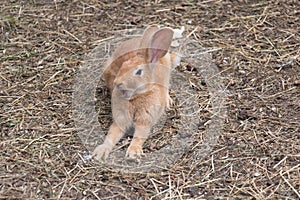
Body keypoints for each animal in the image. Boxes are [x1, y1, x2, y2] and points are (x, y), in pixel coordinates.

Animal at [92, 25, 180, 160]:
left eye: (138, 72)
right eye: (123, 65)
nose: (117, 83)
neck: (136, 96)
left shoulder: (145, 120)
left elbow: (139, 136)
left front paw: (133, 152)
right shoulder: (121, 118)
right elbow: (111, 135)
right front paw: (101, 151)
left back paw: (167, 101)